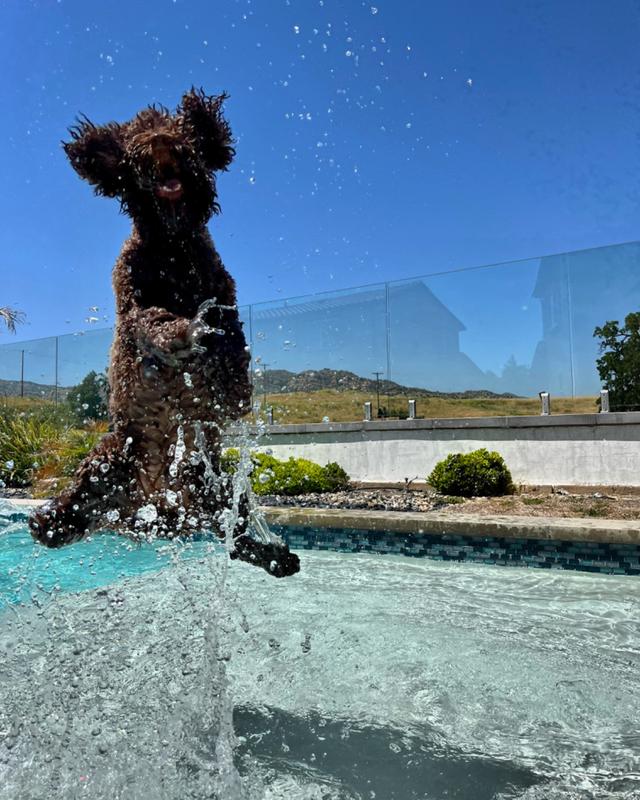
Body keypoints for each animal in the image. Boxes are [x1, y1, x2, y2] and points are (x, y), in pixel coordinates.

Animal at [29, 88, 299, 579]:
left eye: (181, 132)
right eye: (136, 138)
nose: (160, 143)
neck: (174, 247)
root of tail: (155, 503)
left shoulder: (223, 292)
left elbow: (234, 361)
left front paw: (228, 370)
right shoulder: (134, 303)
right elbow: (158, 322)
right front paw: (193, 329)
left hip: (212, 489)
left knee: (236, 536)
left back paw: (274, 555)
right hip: (109, 462)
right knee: (74, 506)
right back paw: (47, 520)